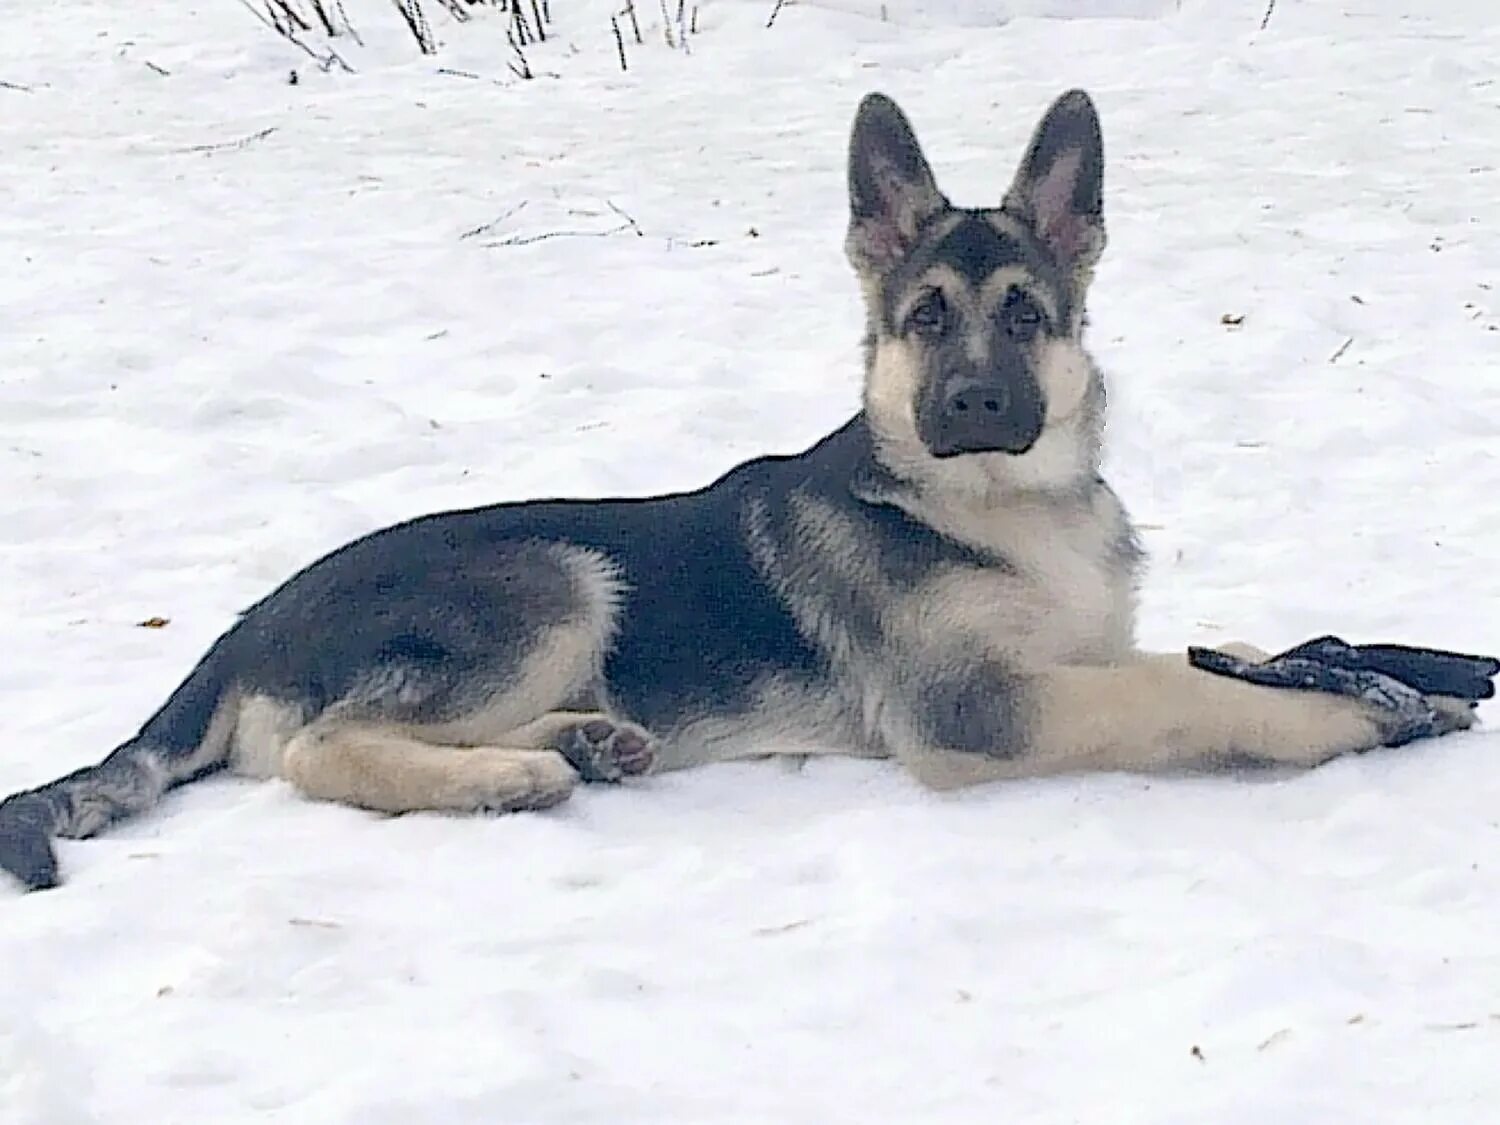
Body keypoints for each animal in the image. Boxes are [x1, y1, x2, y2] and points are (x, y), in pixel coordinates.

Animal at [0, 90, 1476, 900]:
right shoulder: (976, 709)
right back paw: (510, 776)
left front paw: (1350, 667)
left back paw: (589, 742)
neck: (1002, 508)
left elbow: (1226, 653)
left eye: (1024, 315)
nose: (973, 407)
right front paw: (1349, 715)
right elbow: (1186, 690)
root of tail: (241, 629)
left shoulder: (1075, 647)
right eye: (927, 319)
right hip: (548, 577)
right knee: (320, 748)